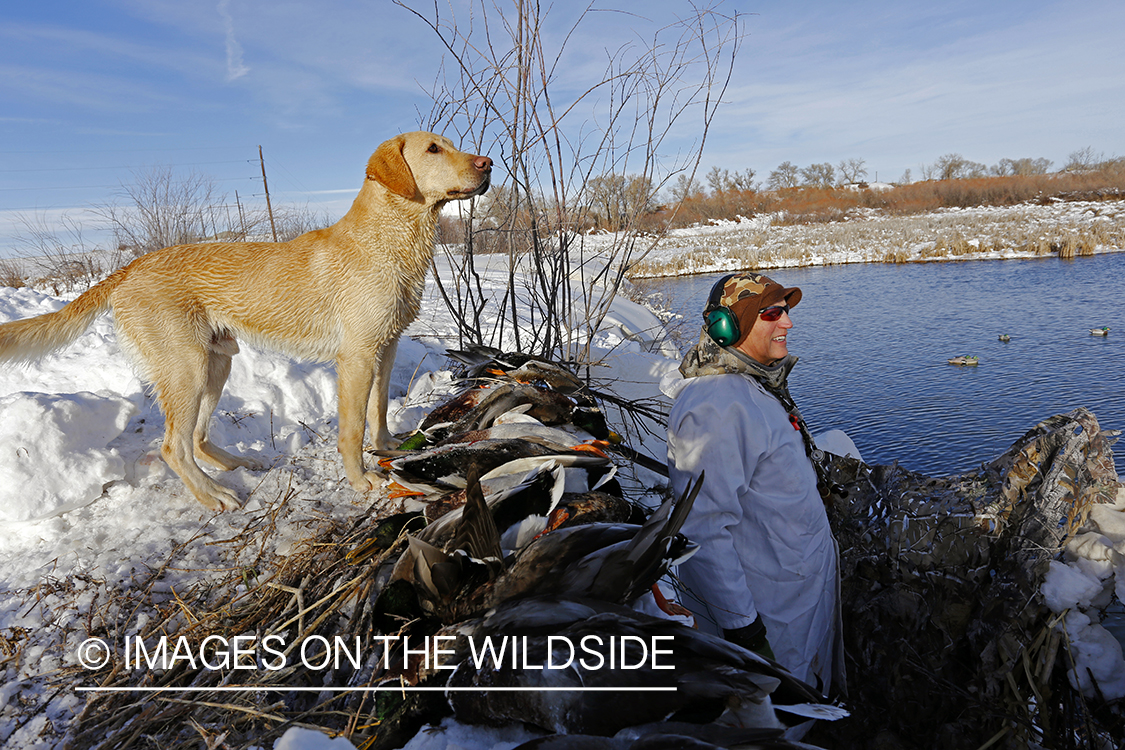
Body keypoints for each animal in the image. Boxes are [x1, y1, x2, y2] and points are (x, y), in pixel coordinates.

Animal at [1, 132, 492, 512]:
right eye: (433, 149)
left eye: (451, 144)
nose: (488, 163)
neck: (389, 239)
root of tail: (130, 267)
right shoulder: (356, 357)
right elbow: (352, 429)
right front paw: (360, 480)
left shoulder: (385, 348)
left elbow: (378, 410)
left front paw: (387, 447)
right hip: (187, 369)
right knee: (172, 446)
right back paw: (213, 495)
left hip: (217, 364)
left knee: (197, 438)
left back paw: (237, 467)